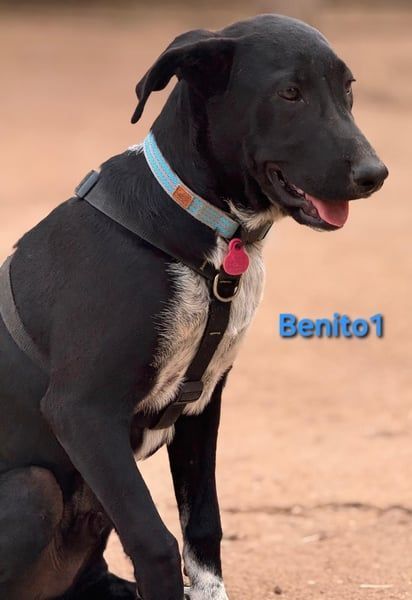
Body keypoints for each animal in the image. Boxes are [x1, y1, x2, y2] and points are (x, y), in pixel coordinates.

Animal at [0, 14, 387, 600]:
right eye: (289, 93)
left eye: (347, 90)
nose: (376, 174)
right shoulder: (81, 410)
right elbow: (155, 541)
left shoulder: (202, 403)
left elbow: (202, 526)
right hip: (32, 488)